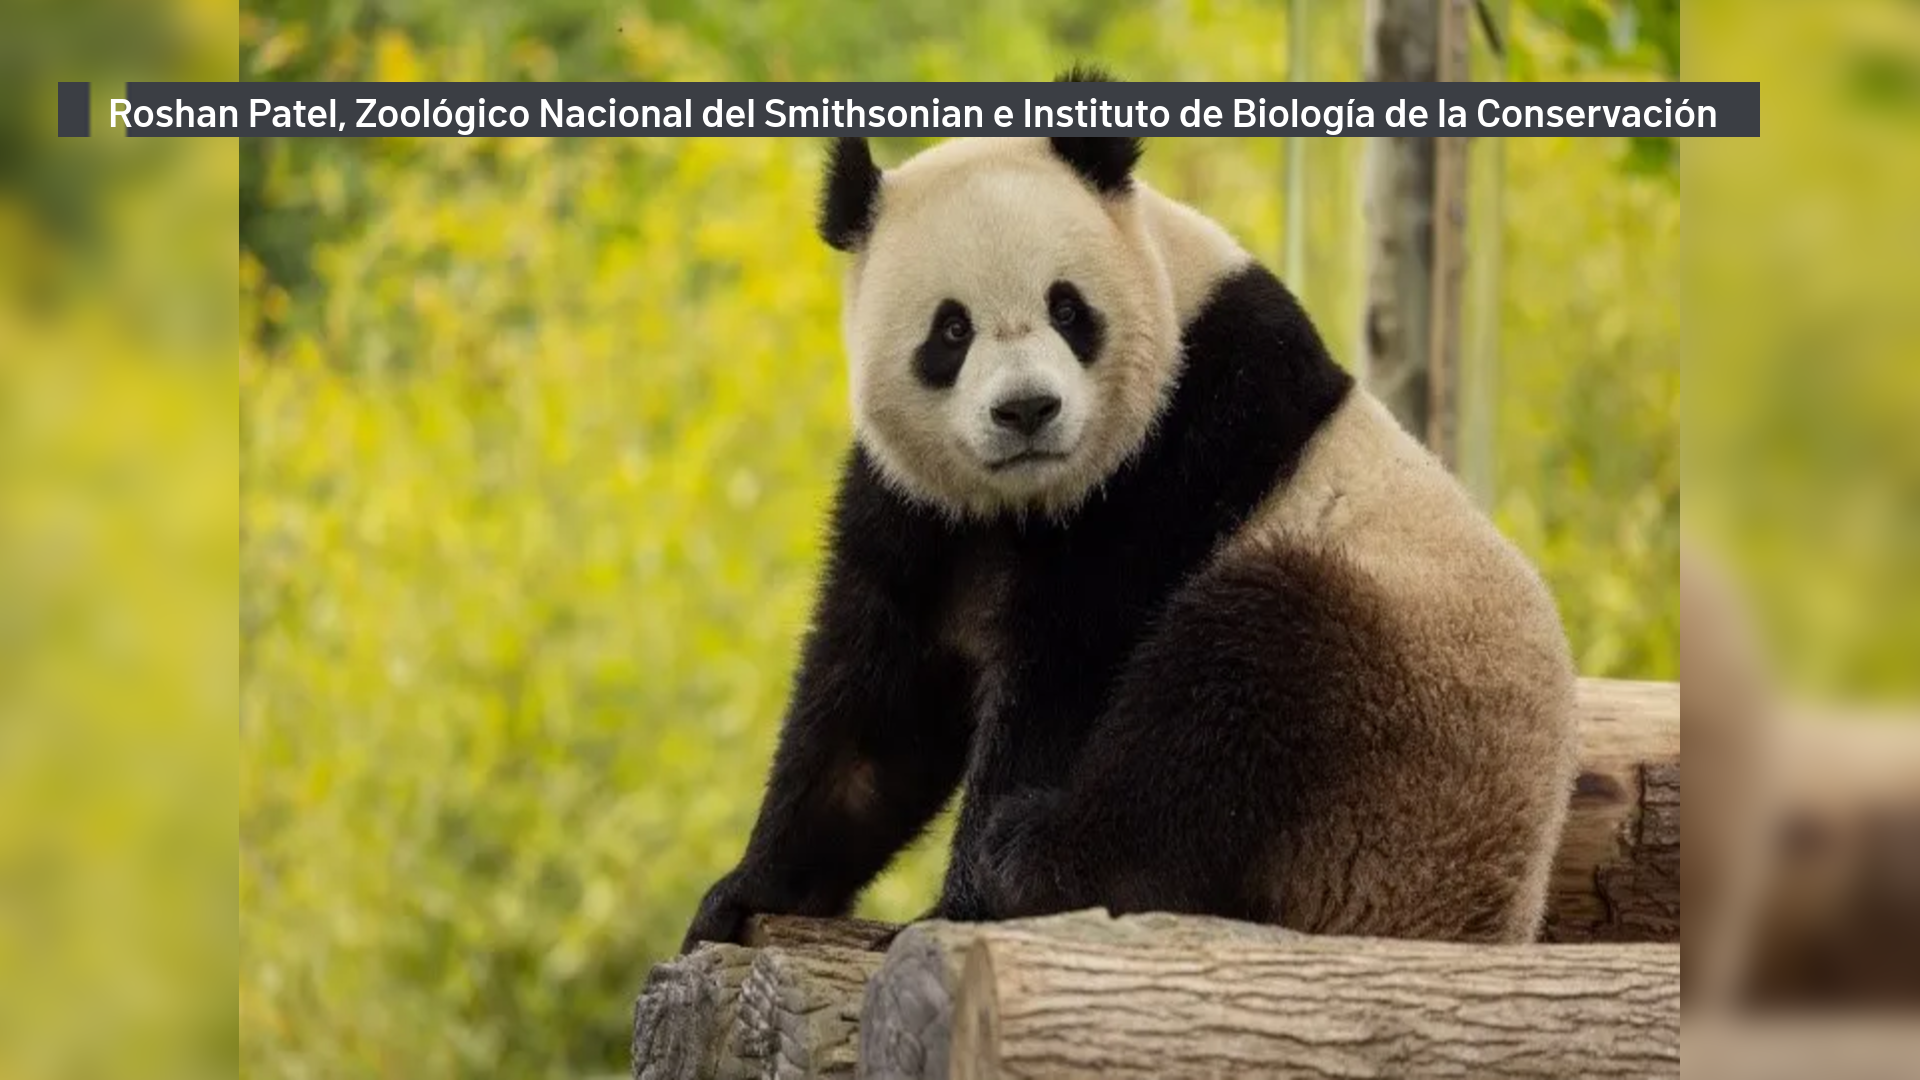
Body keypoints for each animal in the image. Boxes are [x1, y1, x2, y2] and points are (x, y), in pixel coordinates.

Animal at [683, 92, 1582, 945]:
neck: (1027, 502)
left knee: (1233, 690)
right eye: (951, 329)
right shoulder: (919, 507)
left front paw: (961, 904)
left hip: (1396, 730)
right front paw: (747, 892)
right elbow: (877, 703)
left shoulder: (1181, 447)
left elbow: (1070, 672)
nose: (1026, 410)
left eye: (1067, 309)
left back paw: (1035, 858)